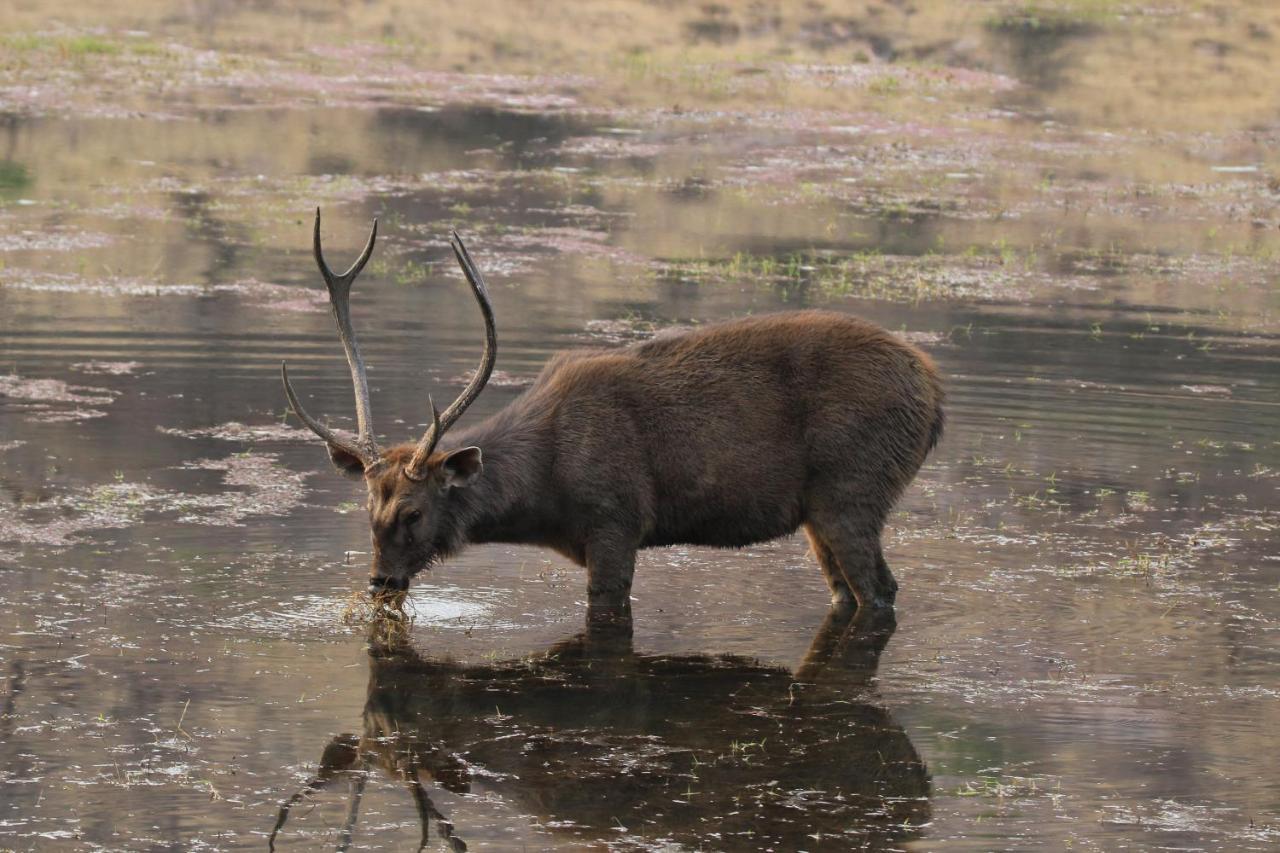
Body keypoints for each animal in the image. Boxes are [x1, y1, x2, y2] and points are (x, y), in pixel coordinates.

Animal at [282, 208, 942, 614]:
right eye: (369, 508)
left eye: (415, 512)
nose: (381, 581)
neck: (543, 496)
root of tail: (935, 398)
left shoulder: (616, 520)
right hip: (822, 511)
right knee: (849, 594)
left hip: (852, 488)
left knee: (880, 589)